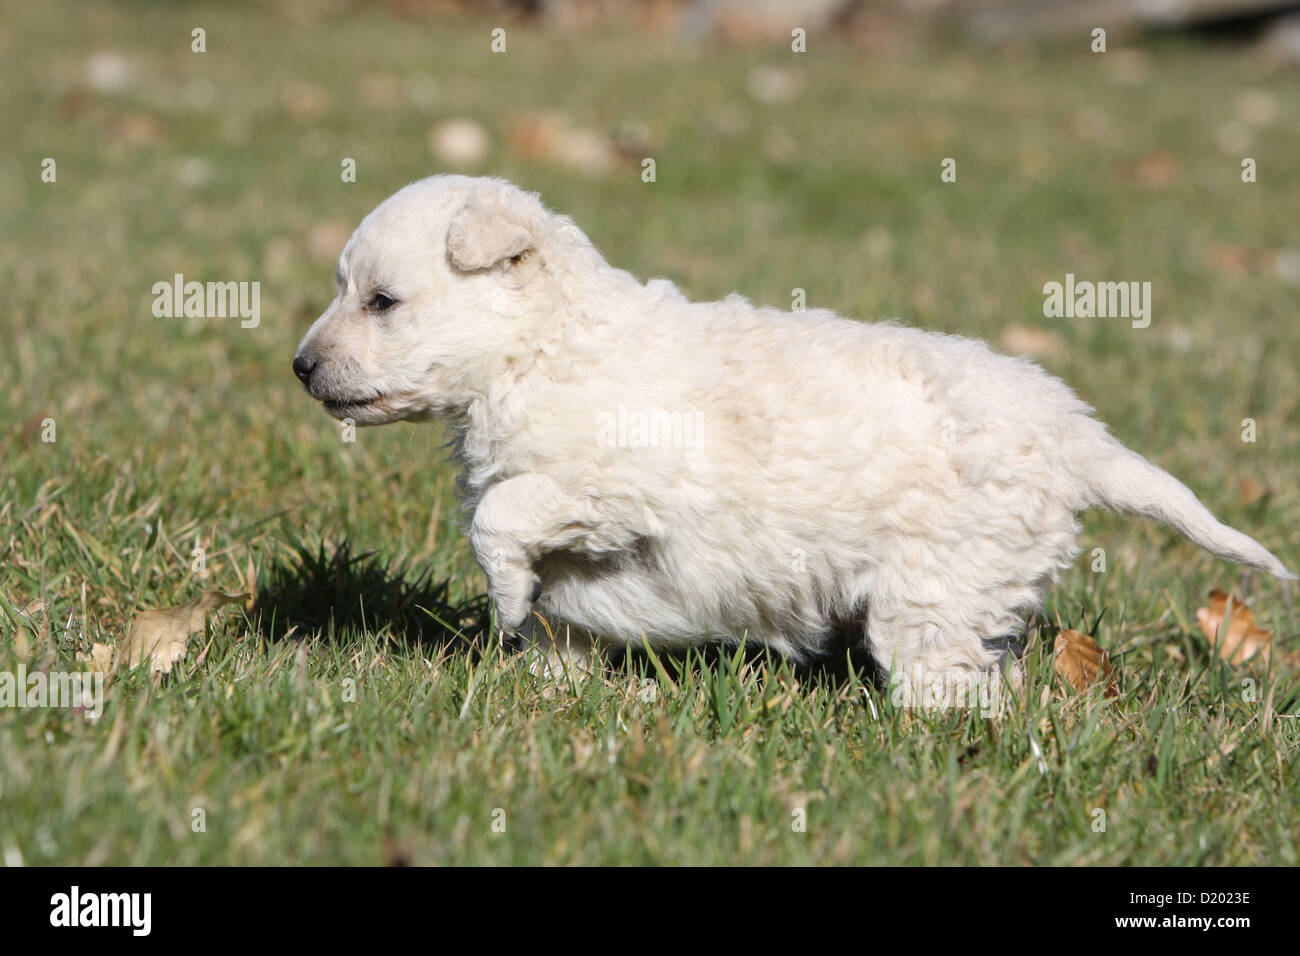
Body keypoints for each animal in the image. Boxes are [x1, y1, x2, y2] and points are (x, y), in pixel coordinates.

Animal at [292, 175, 1289, 686]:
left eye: (382, 302)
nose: (301, 366)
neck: (540, 347)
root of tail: (1076, 434)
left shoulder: (626, 481)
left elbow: (503, 515)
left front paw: (501, 599)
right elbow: (549, 601)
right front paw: (543, 680)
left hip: (934, 585)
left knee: (949, 680)